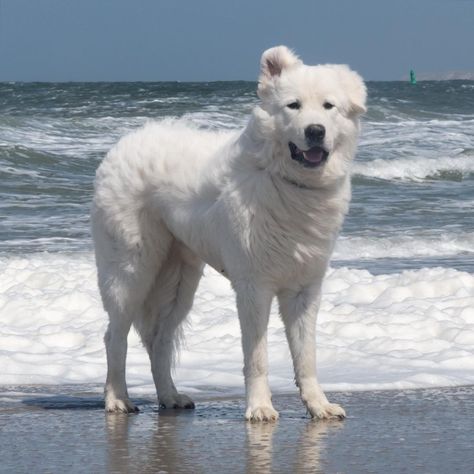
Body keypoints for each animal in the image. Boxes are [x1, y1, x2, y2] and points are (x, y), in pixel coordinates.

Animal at [92, 46, 366, 420]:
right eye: (293, 105)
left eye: (328, 106)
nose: (315, 131)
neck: (288, 184)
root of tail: (124, 143)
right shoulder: (253, 287)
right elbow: (257, 357)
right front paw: (260, 407)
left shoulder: (304, 290)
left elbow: (306, 357)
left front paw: (318, 405)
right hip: (131, 272)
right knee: (114, 337)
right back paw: (117, 399)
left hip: (179, 283)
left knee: (159, 341)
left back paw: (170, 396)